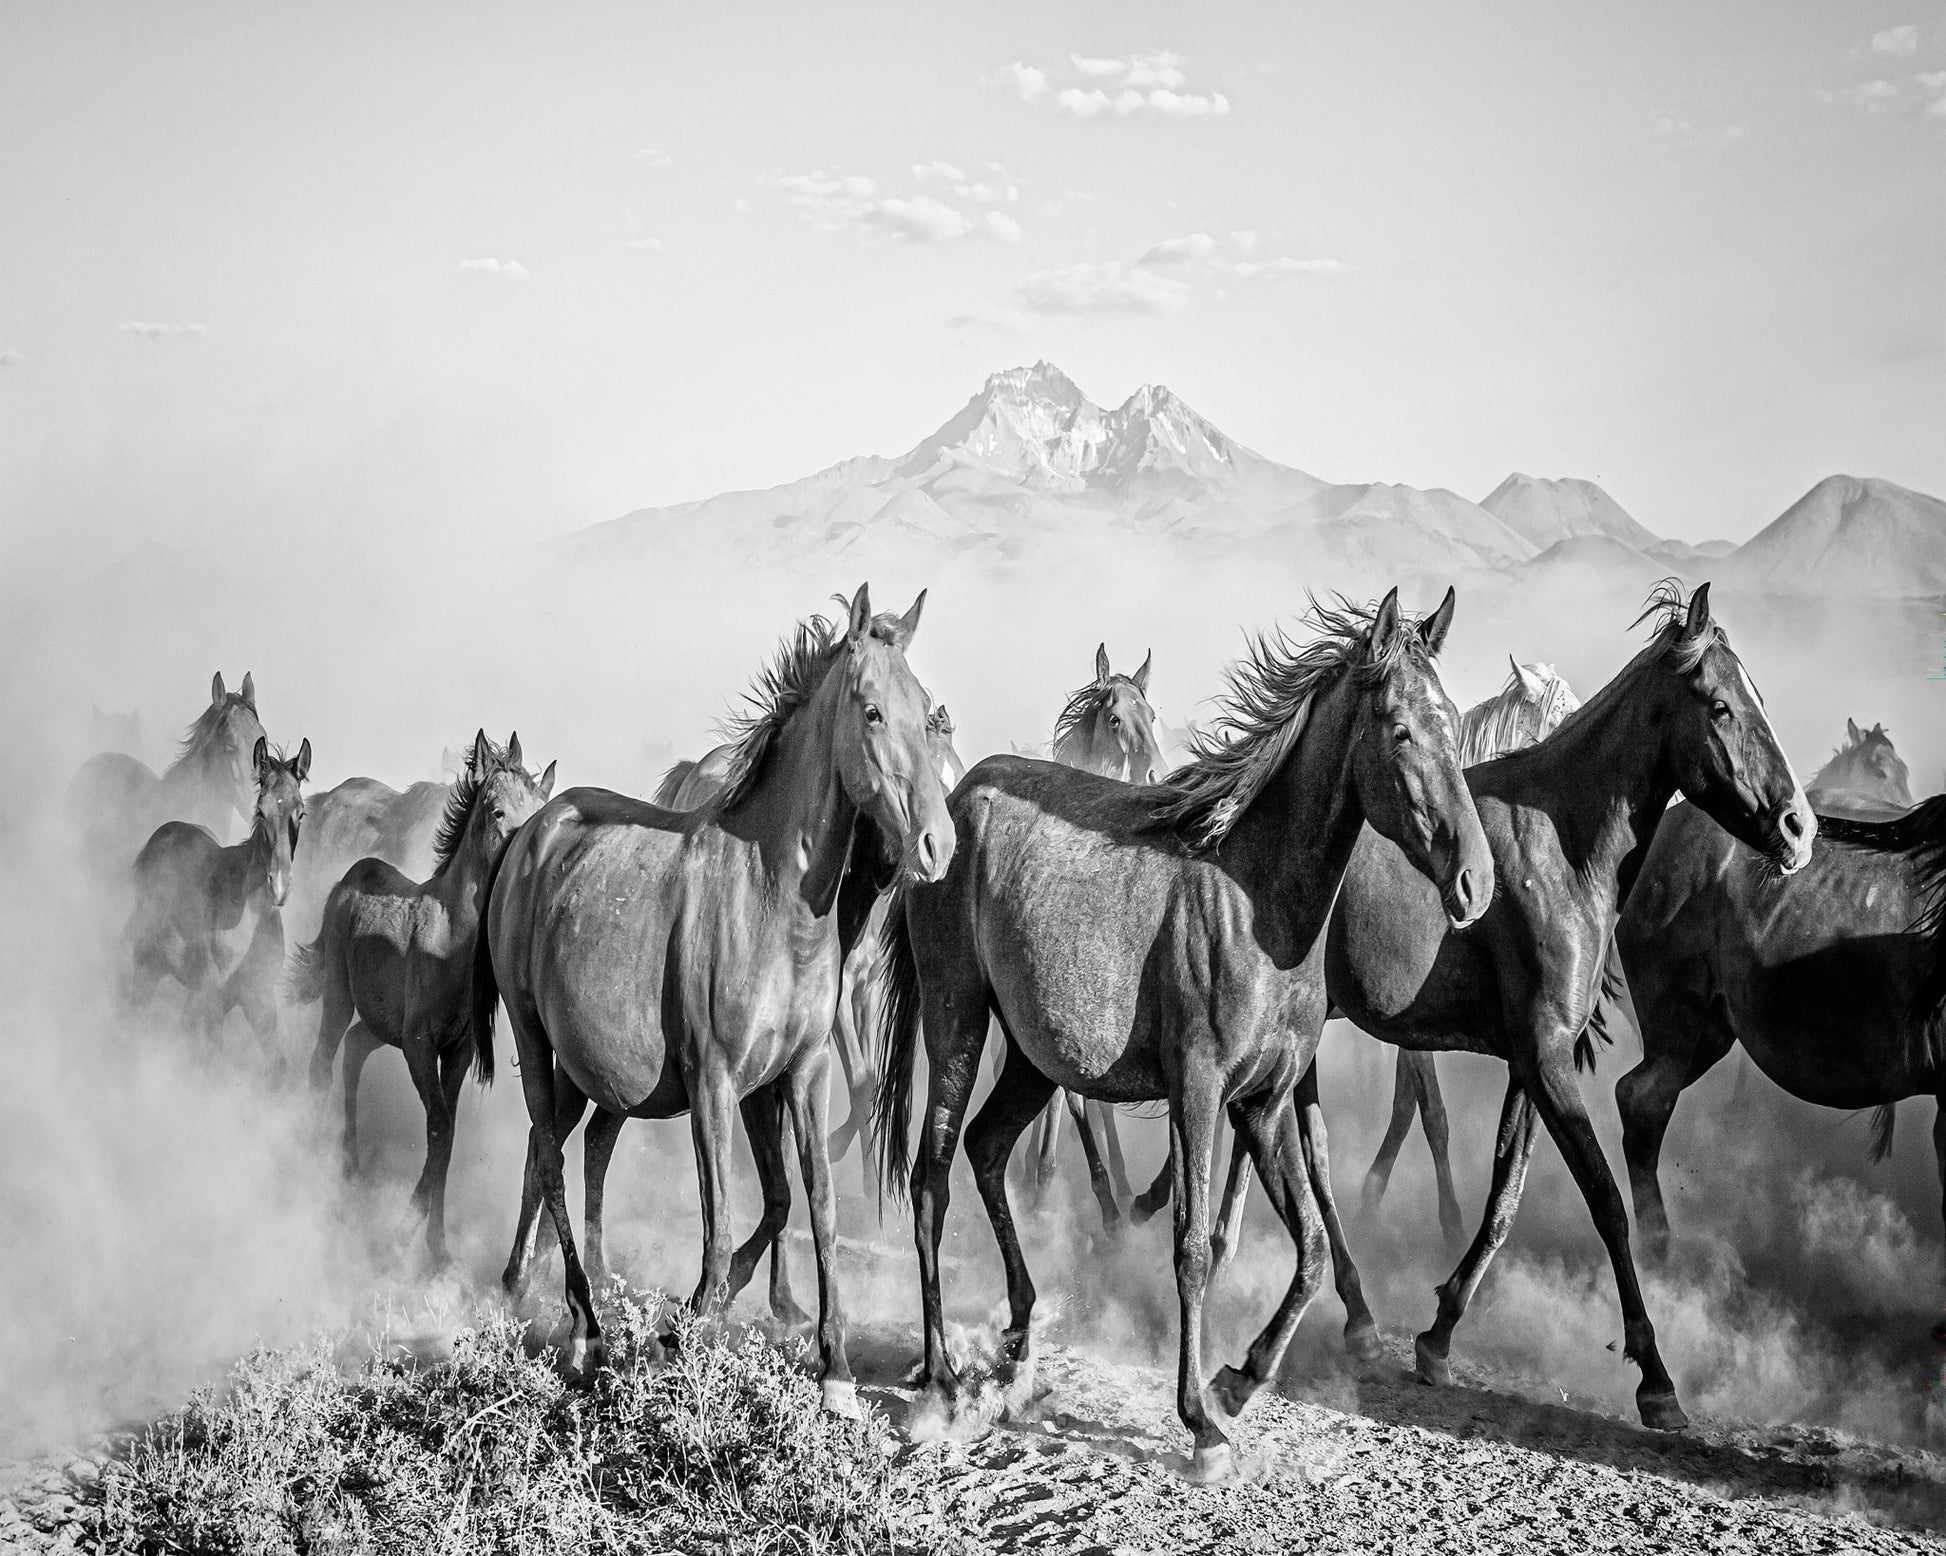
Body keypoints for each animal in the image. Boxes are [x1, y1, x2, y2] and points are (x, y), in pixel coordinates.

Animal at [122, 736, 311, 1045]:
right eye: (261, 810)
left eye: (301, 812)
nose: (279, 886)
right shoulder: (211, 1000)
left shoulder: (258, 999)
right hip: (147, 965)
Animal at [286, 731, 555, 1263]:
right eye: (496, 811)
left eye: (540, 806)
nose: (529, 864)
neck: (450, 940)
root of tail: (346, 881)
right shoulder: (418, 1045)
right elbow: (438, 1129)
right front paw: (404, 1232)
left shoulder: (457, 1051)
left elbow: (446, 1140)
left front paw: (437, 1248)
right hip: (339, 995)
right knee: (323, 1059)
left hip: (379, 1021)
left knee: (354, 1049)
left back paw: (350, 1166)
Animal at [478, 584, 954, 1414]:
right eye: (871, 711)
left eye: (926, 710)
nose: (939, 845)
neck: (772, 902)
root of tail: (531, 832)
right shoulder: (714, 1082)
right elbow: (724, 1218)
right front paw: (691, 1326)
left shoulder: (797, 1077)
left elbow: (811, 1205)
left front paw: (833, 1369)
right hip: (534, 1037)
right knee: (550, 1161)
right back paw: (584, 1327)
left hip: (581, 1067)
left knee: (563, 1149)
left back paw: (544, 1287)